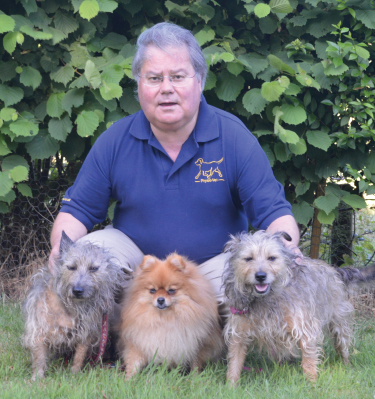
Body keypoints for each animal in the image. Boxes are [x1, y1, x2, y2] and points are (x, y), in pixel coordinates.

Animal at [22, 231, 125, 382]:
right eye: (71, 267)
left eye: (94, 268)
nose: (77, 290)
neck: (71, 307)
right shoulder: (39, 332)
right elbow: (39, 359)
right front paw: (37, 379)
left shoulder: (85, 335)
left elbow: (79, 357)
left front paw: (75, 375)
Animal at [222, 231, 375, 384]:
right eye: (248, 258)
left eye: (271, 258)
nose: (260, 276)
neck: (266, 299)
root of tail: (335, 271)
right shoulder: (239, 334)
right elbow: (234, 363)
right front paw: (231, 386)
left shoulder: (305, 329)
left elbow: (309, 361)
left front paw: (311, 384)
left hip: (339, 323)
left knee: (342, 346)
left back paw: (345, 365)